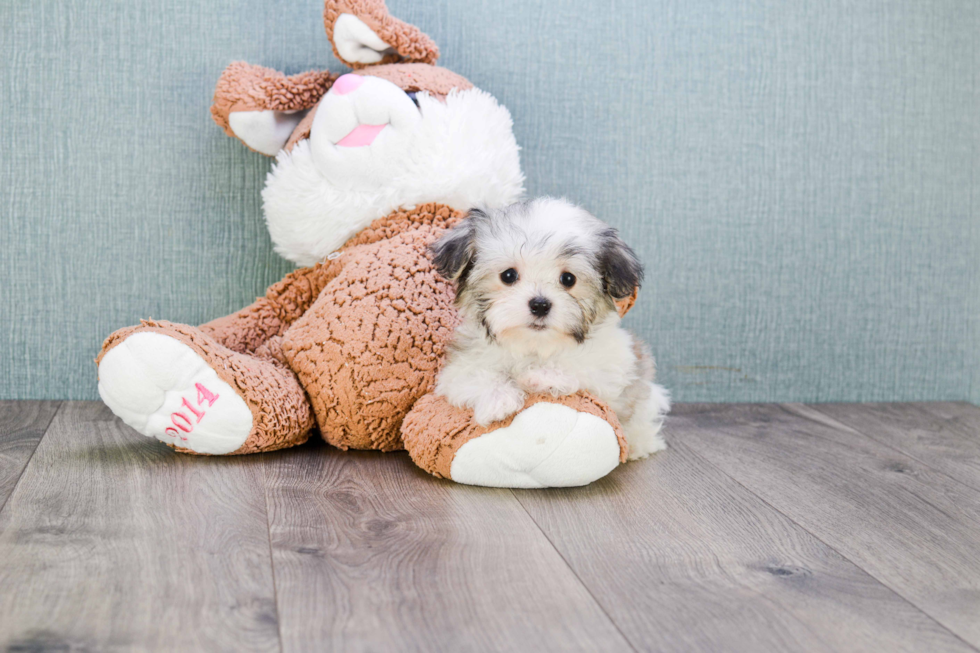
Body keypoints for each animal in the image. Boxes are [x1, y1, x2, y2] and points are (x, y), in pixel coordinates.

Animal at [432, 199, 668, 458]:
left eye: (568, 279)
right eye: (508, 275)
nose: (540, 304)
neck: (535, 345)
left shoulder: (614, 367)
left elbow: (581, 368)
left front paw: (537, 376)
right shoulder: (459, 367)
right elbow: (471, 375)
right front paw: (499, 400)